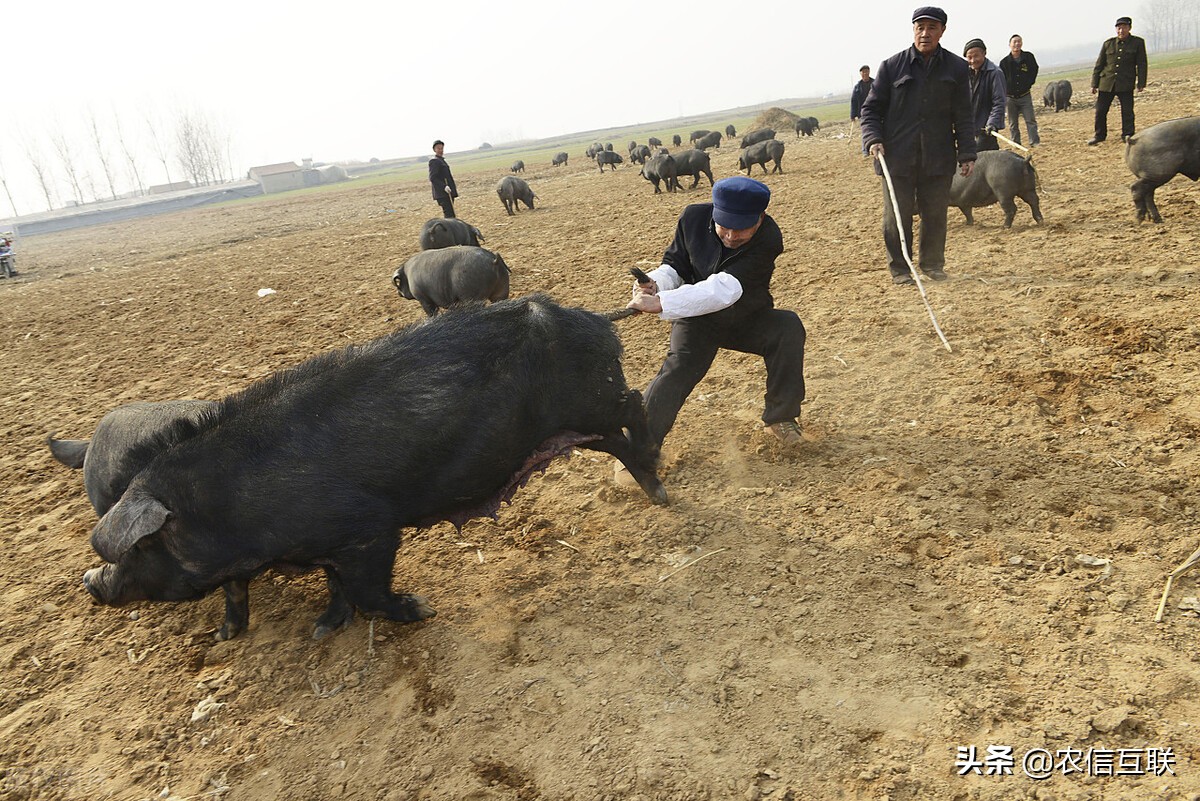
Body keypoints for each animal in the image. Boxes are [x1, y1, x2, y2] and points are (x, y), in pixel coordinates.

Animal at [82, 293, 667, 637]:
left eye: (141, 548)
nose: (91, 581)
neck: (227, 504)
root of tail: (591, 318)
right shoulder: (320, 547)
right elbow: (326, 586)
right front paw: (313, 629)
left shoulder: (369, 528)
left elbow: (366, 590)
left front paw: (421, 608)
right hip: (576, 425)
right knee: (618, 439)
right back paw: (654, 486)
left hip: (595, 398)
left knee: (636, 403)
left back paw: (658, 473)